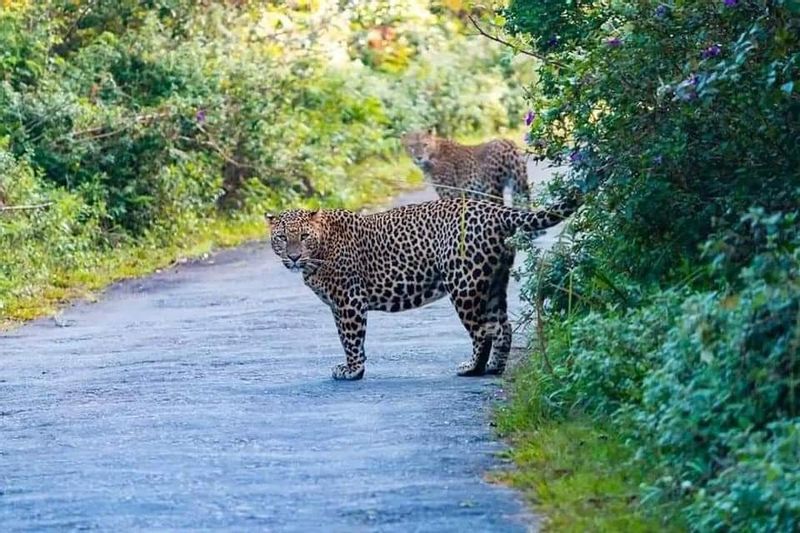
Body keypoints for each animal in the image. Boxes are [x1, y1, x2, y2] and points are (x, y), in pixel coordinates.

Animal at [268, 197, 576, 380]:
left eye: (304, 236)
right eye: (281, 238)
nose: (293, 257)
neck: (320, 249)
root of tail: (494, 210)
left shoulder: (349, 299)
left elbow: (351, 339)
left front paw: (353, 371)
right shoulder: (337, 304)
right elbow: (346, 338)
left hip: (464, 284)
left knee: (483, 330)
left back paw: (472, 368)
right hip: (494, 283)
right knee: (503, 326)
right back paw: (494, 367)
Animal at [400, 130, 532, 207]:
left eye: (425, 145)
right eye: (411, 146)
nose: (419, 157)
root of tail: (507, 142)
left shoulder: (449, 193)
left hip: (491, 190)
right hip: (520, 186)